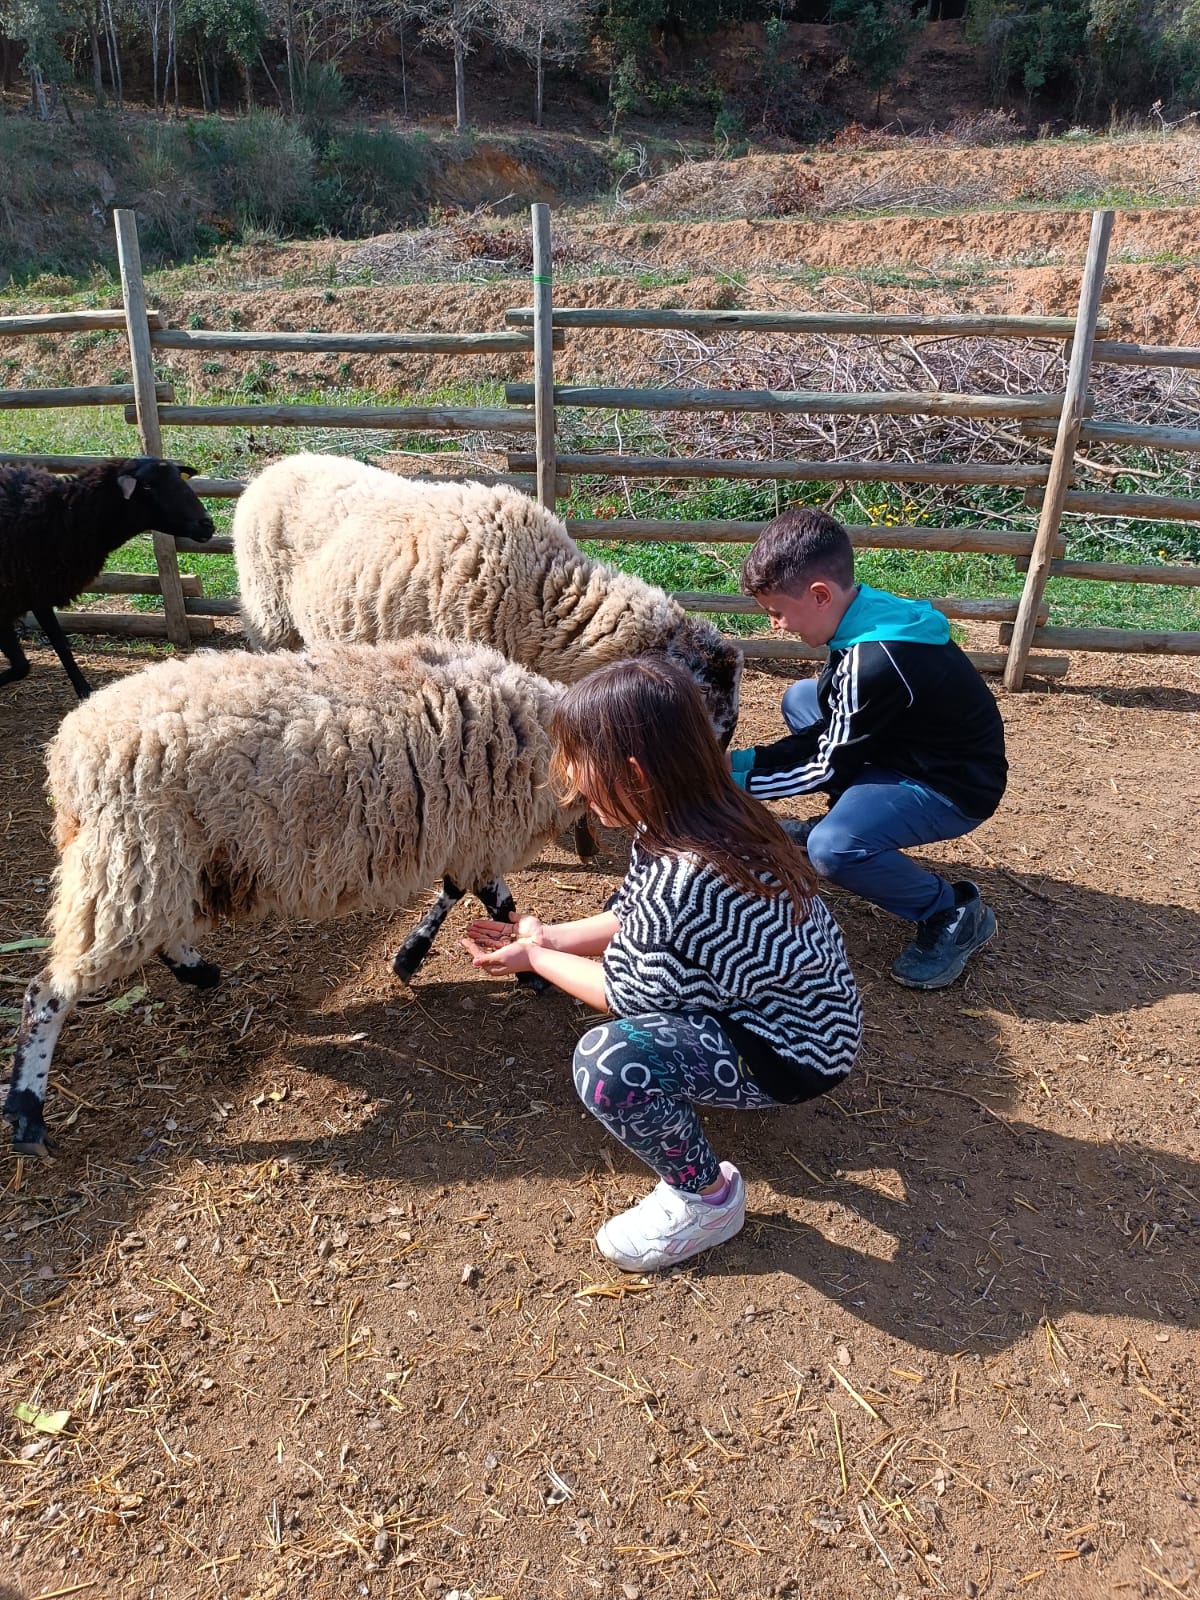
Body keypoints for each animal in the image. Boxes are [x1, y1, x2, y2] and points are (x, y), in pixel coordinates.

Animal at [0, 457, 215, 699]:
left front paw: (85, 693)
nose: (207, 524)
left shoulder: (36, 590)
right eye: (148, 486)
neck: (64, 517)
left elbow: (60, 645)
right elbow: (21, 665)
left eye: (180, 478)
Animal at [3, 635, 579, 1158]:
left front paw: (419, 956)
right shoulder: (477, 829)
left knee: (154, 930)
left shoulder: (467, 834)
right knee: (45, 992)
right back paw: (27, 1112)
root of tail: (69, 752)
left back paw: (197, 970)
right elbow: (487, 896)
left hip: (152, 864)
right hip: (132, 853)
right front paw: (518, 967)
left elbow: (474, 893)